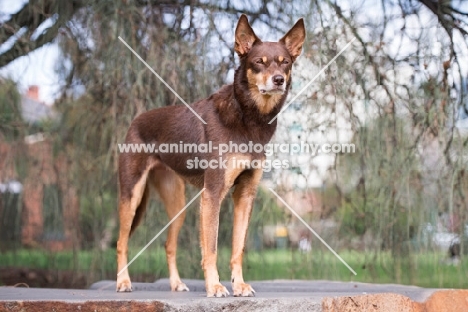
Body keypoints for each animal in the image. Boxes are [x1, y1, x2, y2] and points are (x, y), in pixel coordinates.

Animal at [117, 14, 306, 298]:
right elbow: (212, 248)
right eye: (259, 62)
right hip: (132, 194)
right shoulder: (213, 193)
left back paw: (176, 284)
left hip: (178, 205)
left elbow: (238, 248)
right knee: (121, 241)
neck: (248, 118)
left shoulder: (245, 194)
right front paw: (215, 286)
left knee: (169, 244)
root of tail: (136, 120)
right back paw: (123, 282)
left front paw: (239, 285)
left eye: (285, 62)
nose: (278, 80)